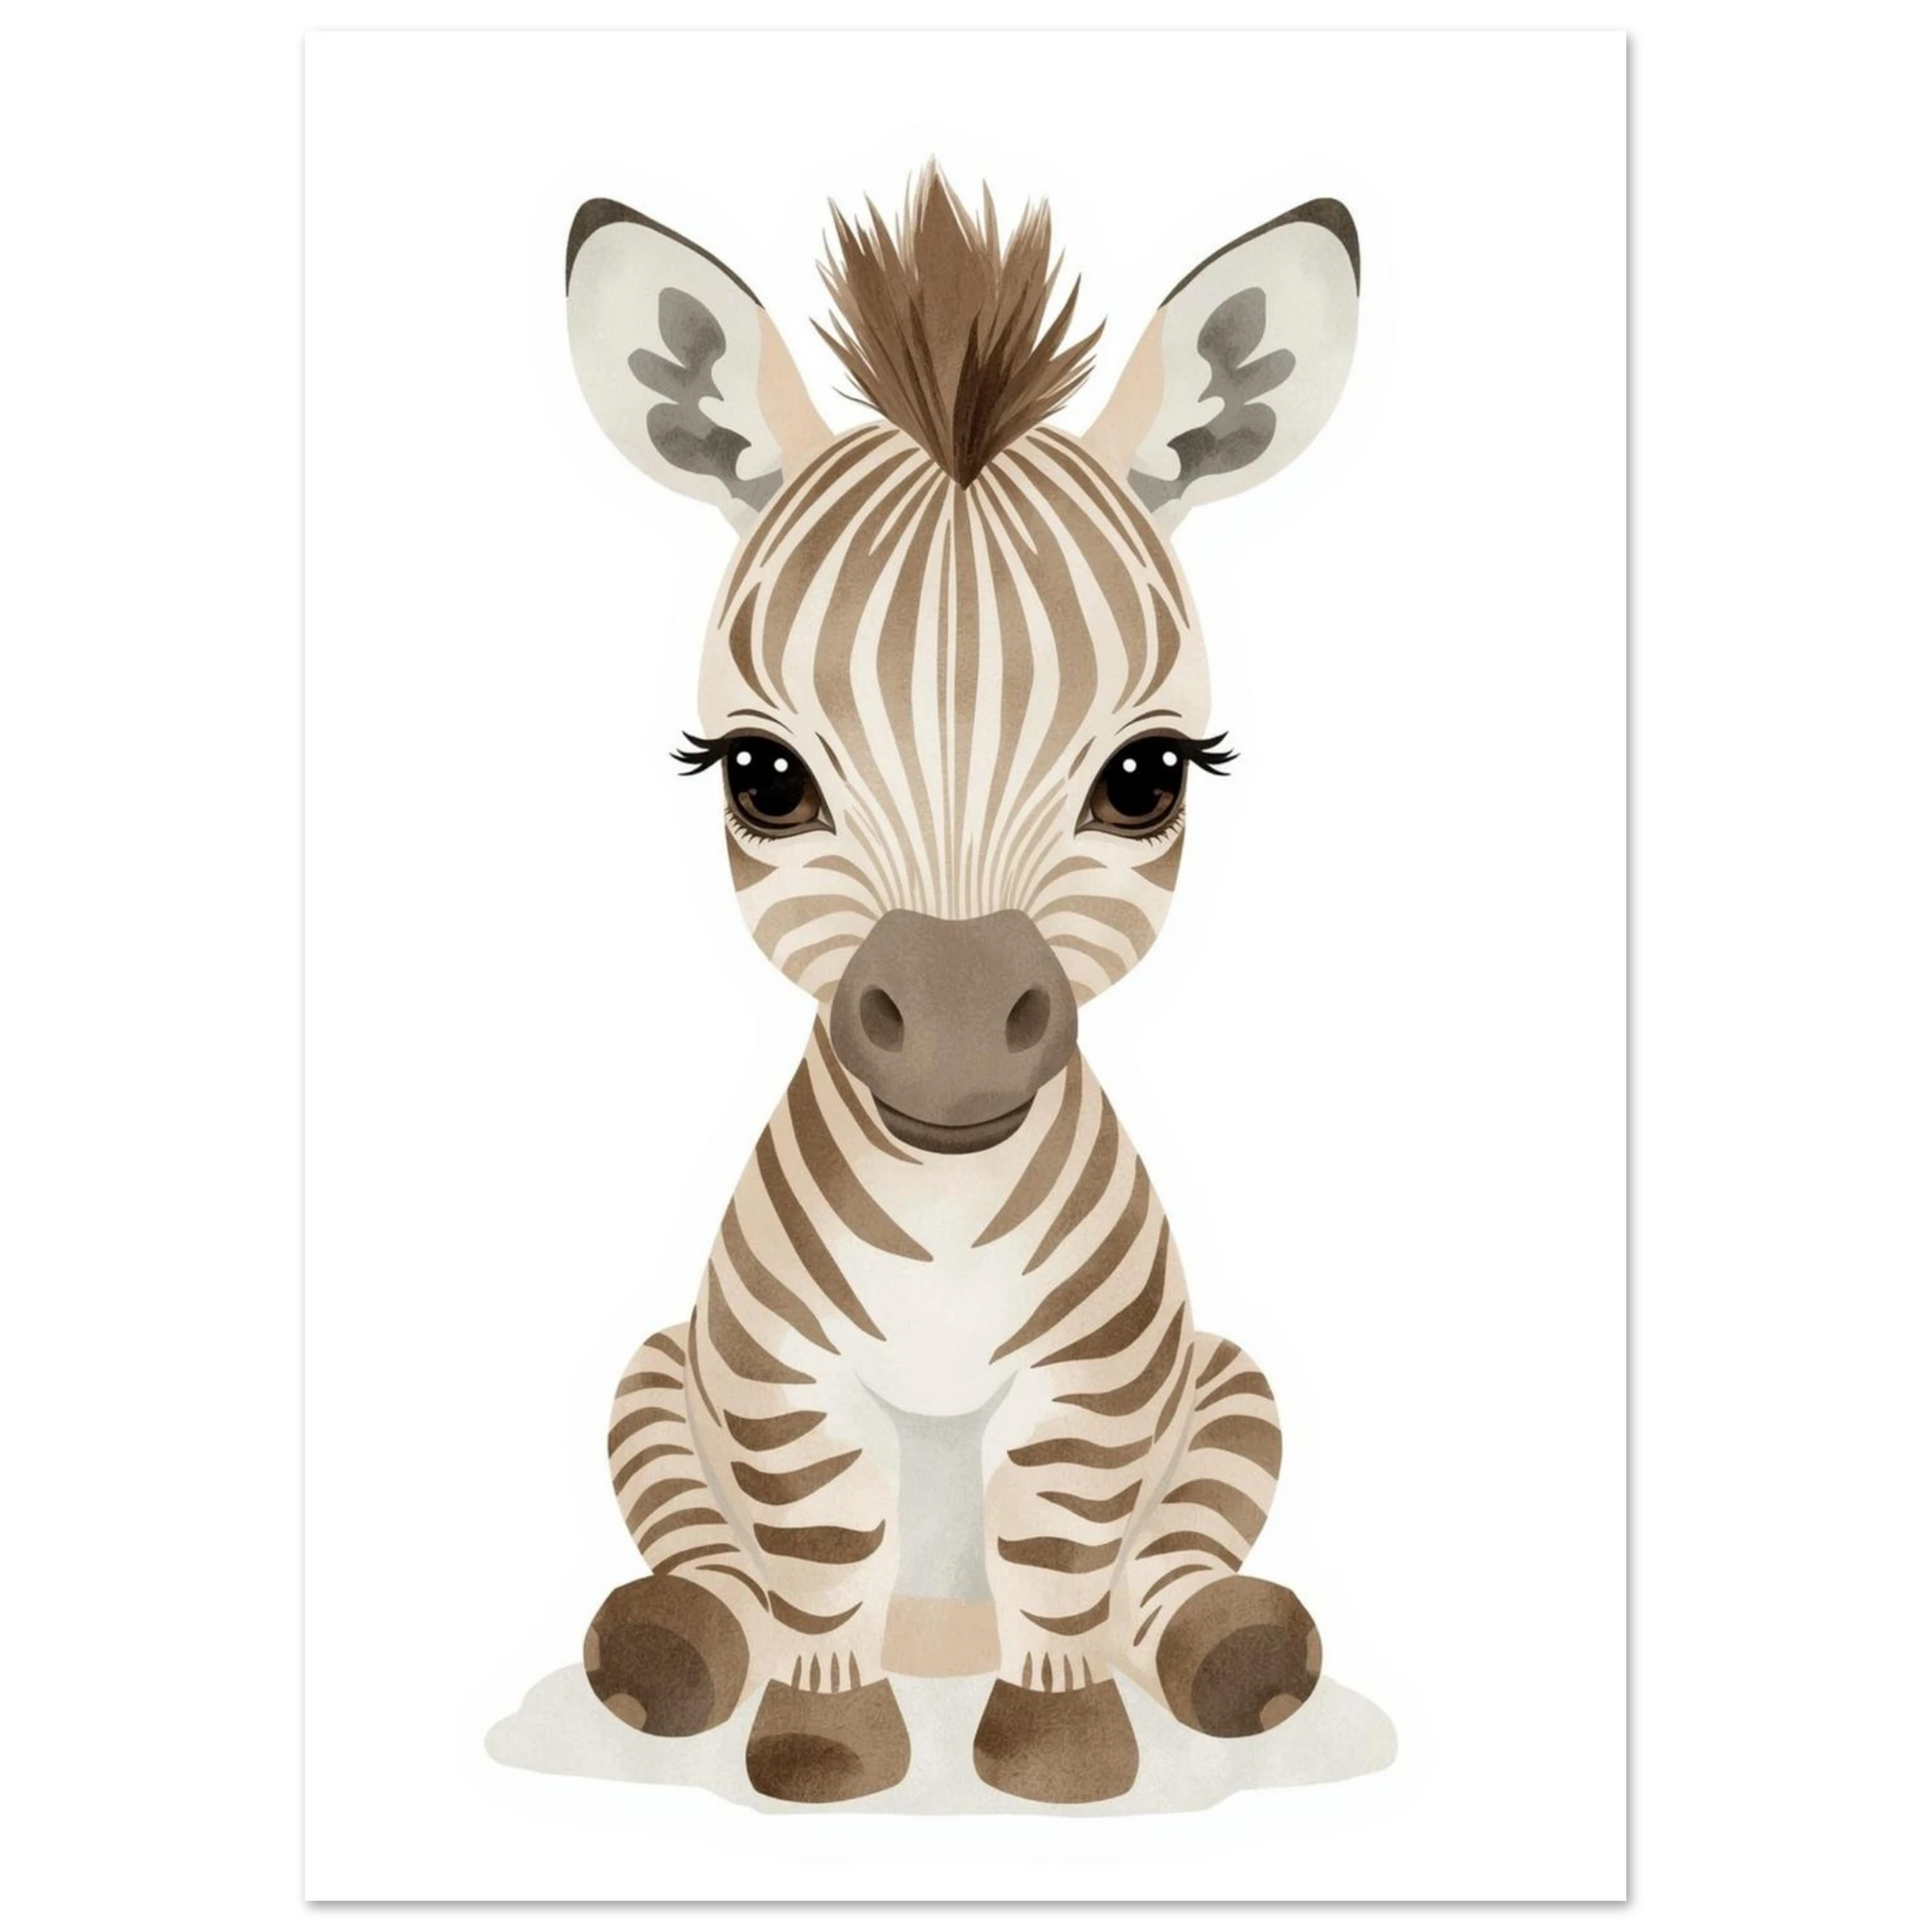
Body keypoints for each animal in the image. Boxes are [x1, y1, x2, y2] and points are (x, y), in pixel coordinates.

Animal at [563, 165, 1360, 1805]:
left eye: (1147, 775)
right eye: (760, 774)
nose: (944, 1038)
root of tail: (942, 1634)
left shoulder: (1101, 1383)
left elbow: (1061, 1551)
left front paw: (1060, 1749)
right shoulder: (772, 1378)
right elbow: (813, 1555)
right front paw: (819, 1744)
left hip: (1228, 1379)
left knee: (1171, 1555)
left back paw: (1232, 1652)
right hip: (657, 1373)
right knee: (708, 1549)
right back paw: (672, 1647)